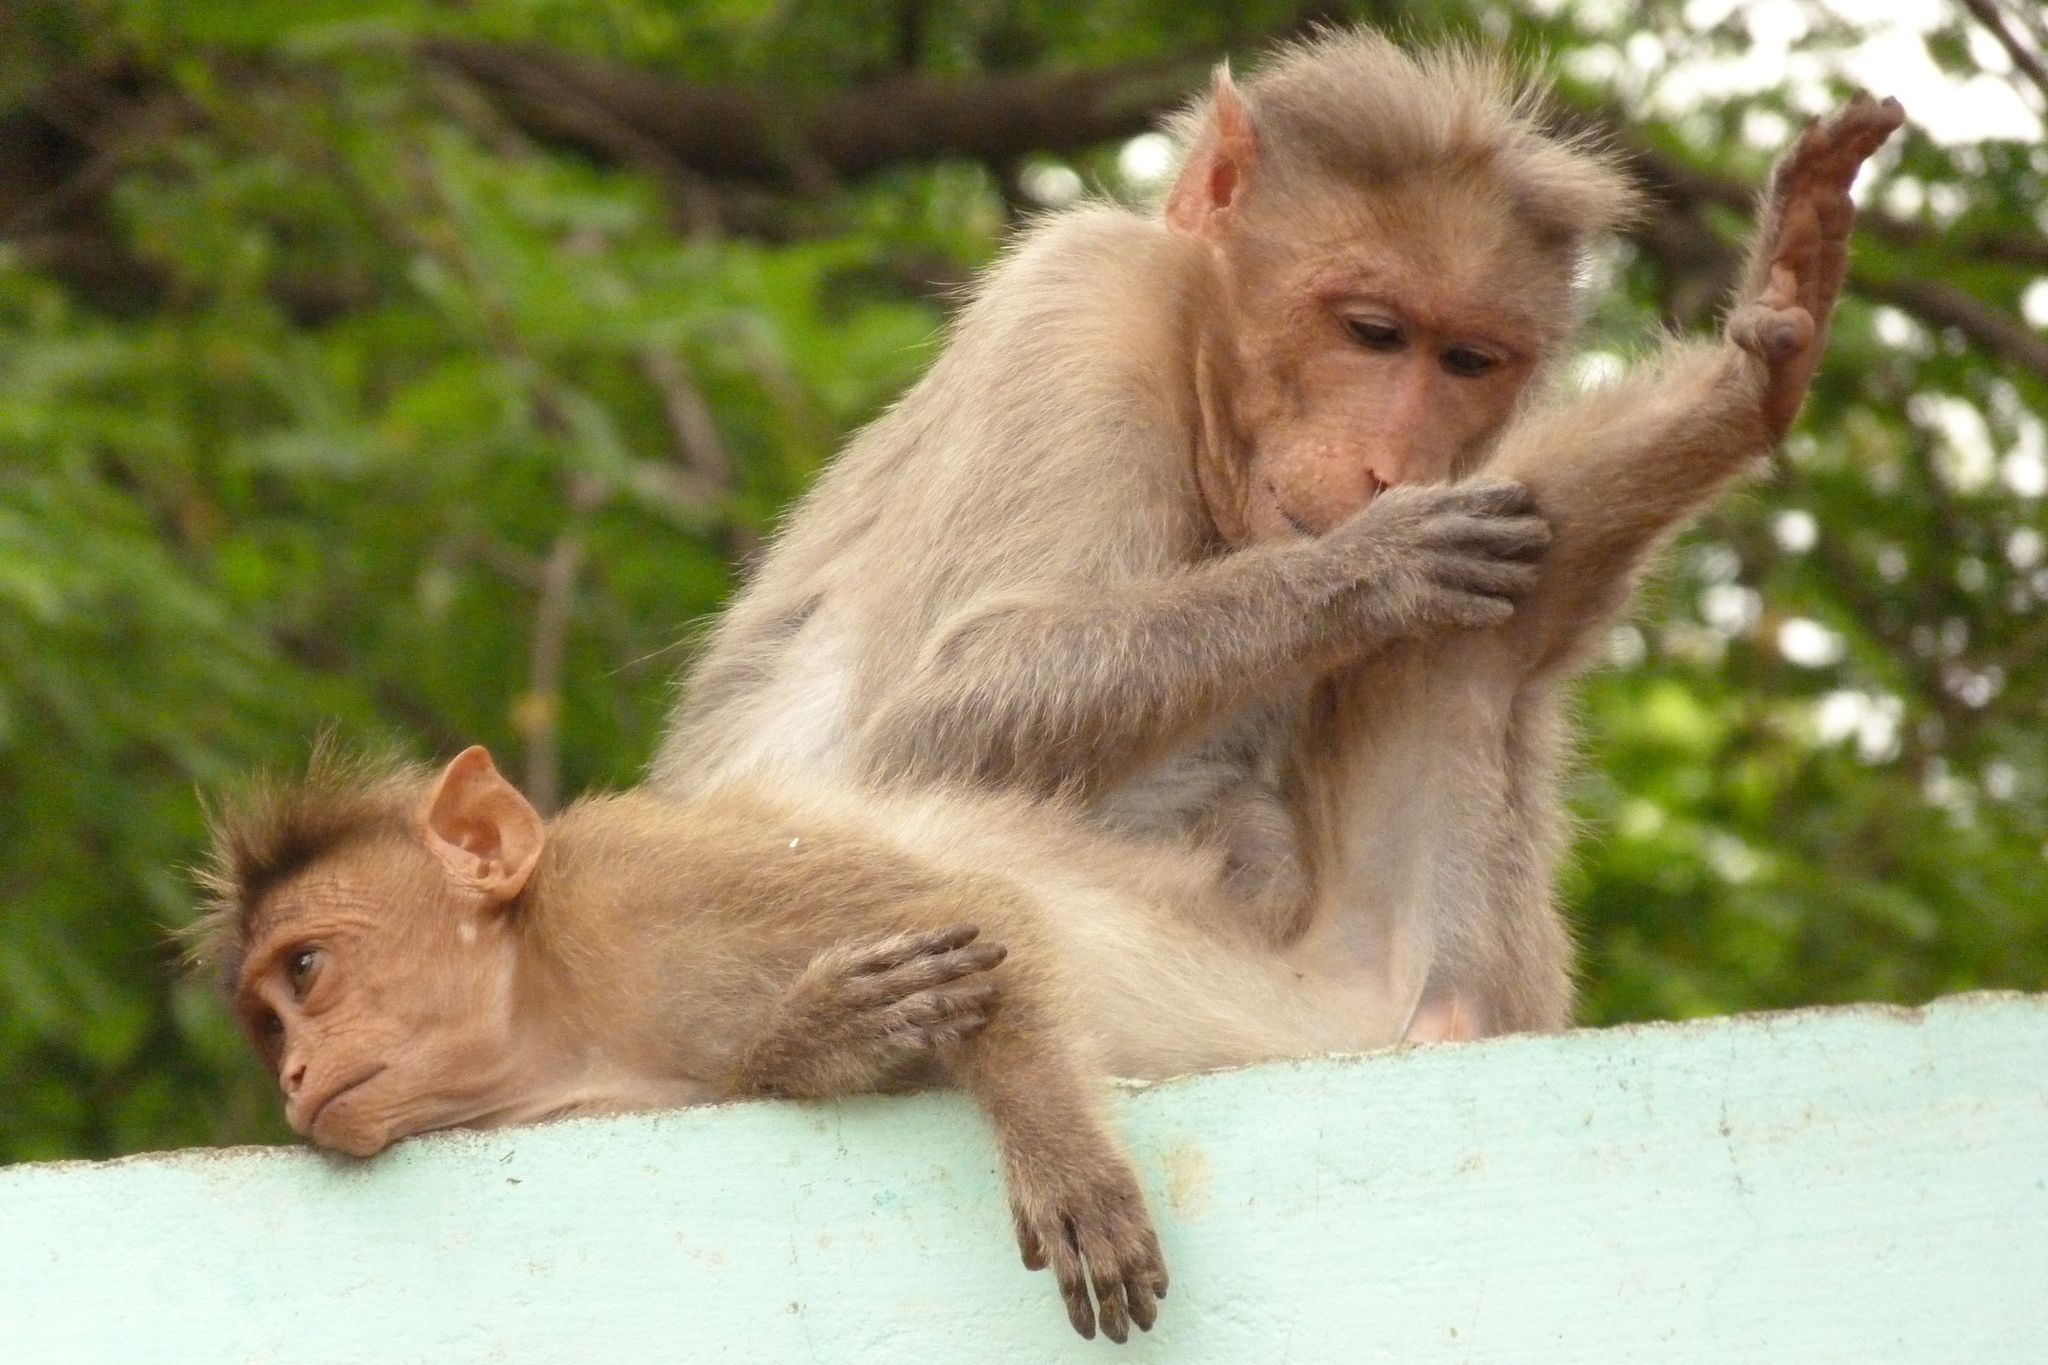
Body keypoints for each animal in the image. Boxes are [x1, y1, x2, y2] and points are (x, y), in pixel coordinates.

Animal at [191, 743, 1414, 1342]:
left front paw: (1061, 1157)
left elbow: (983, 906)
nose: (293, 1073)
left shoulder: (658, 886)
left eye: (308, 970)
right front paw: (815, 1039)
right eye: (266, 1025)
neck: (562, 1009)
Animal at [649, 30, 1902, 1043]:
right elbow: (928, 720)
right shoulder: (1083, 304)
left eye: (1466, 360)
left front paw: (1754, 361)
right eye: (1371, 332)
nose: (1390, 466)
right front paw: (1364, 571)